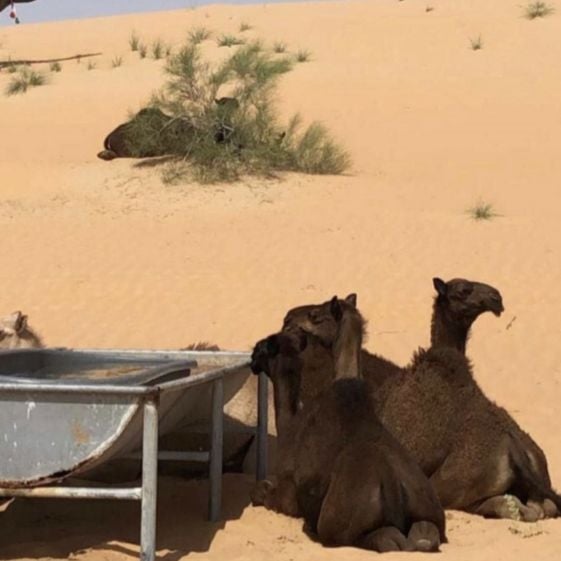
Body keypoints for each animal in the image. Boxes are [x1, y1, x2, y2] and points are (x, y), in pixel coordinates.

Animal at [250, 329, 446, 552]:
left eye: (265, 345)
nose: (252, 354)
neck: (290, 426)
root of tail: (393, 483)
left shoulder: (288, 493)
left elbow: (263, 494)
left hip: (340, 524)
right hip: (428, 510)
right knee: (424, 532)